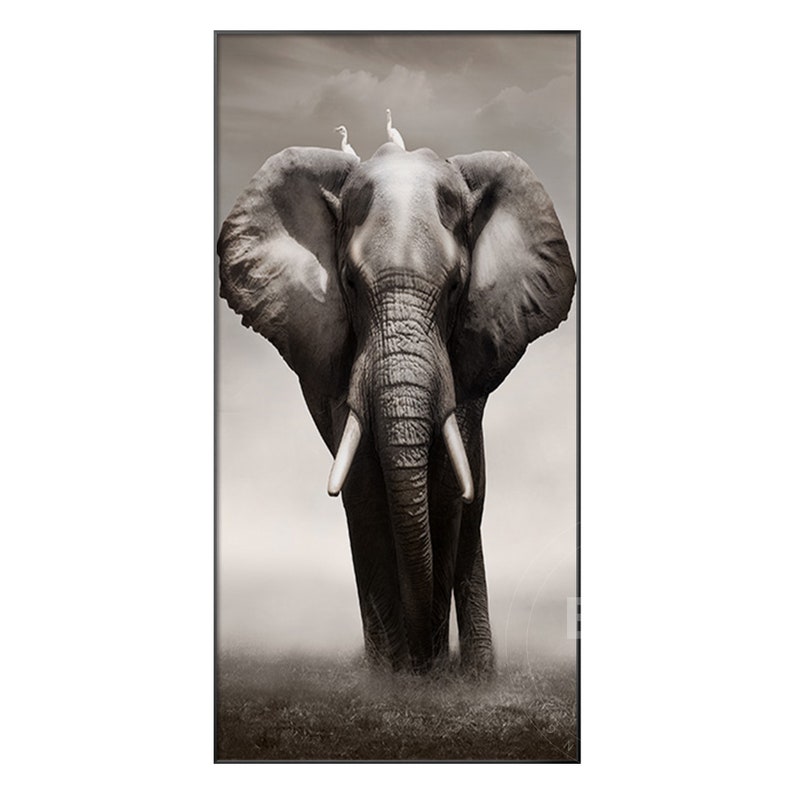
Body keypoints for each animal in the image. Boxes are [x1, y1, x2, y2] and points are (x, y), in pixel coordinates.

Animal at [218, 142, 576, 676]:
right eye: (348, 283)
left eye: (456, 287)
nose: (424, 660)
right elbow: (363, 484)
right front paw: (392, 677)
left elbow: (449, 486)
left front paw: (433, 675)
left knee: (475, 491)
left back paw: (477, 674)